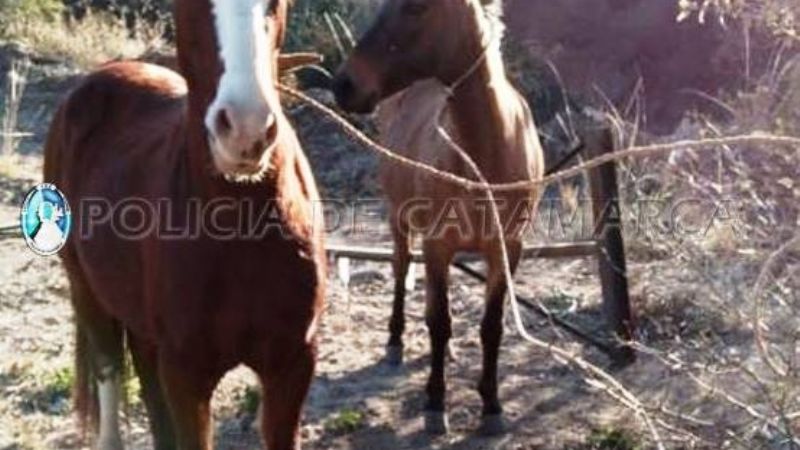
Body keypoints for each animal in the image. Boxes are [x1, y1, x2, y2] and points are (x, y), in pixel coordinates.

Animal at [43, 0, 325, 448]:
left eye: (279, 4)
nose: (245, 130)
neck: (239, 229)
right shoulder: (186, 376)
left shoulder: (293, 364)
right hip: (85, 288)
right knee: (109, 371)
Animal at [332, 0, 544, 436]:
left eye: (416, 7)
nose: (343, 83)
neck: (486, 156)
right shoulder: (437, 245)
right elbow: (439, 321)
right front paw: (434, 403)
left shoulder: (507, 249)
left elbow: (491, 326)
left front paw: (492, 405)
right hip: (400, 220)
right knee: (400, 270)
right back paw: (396, 342)